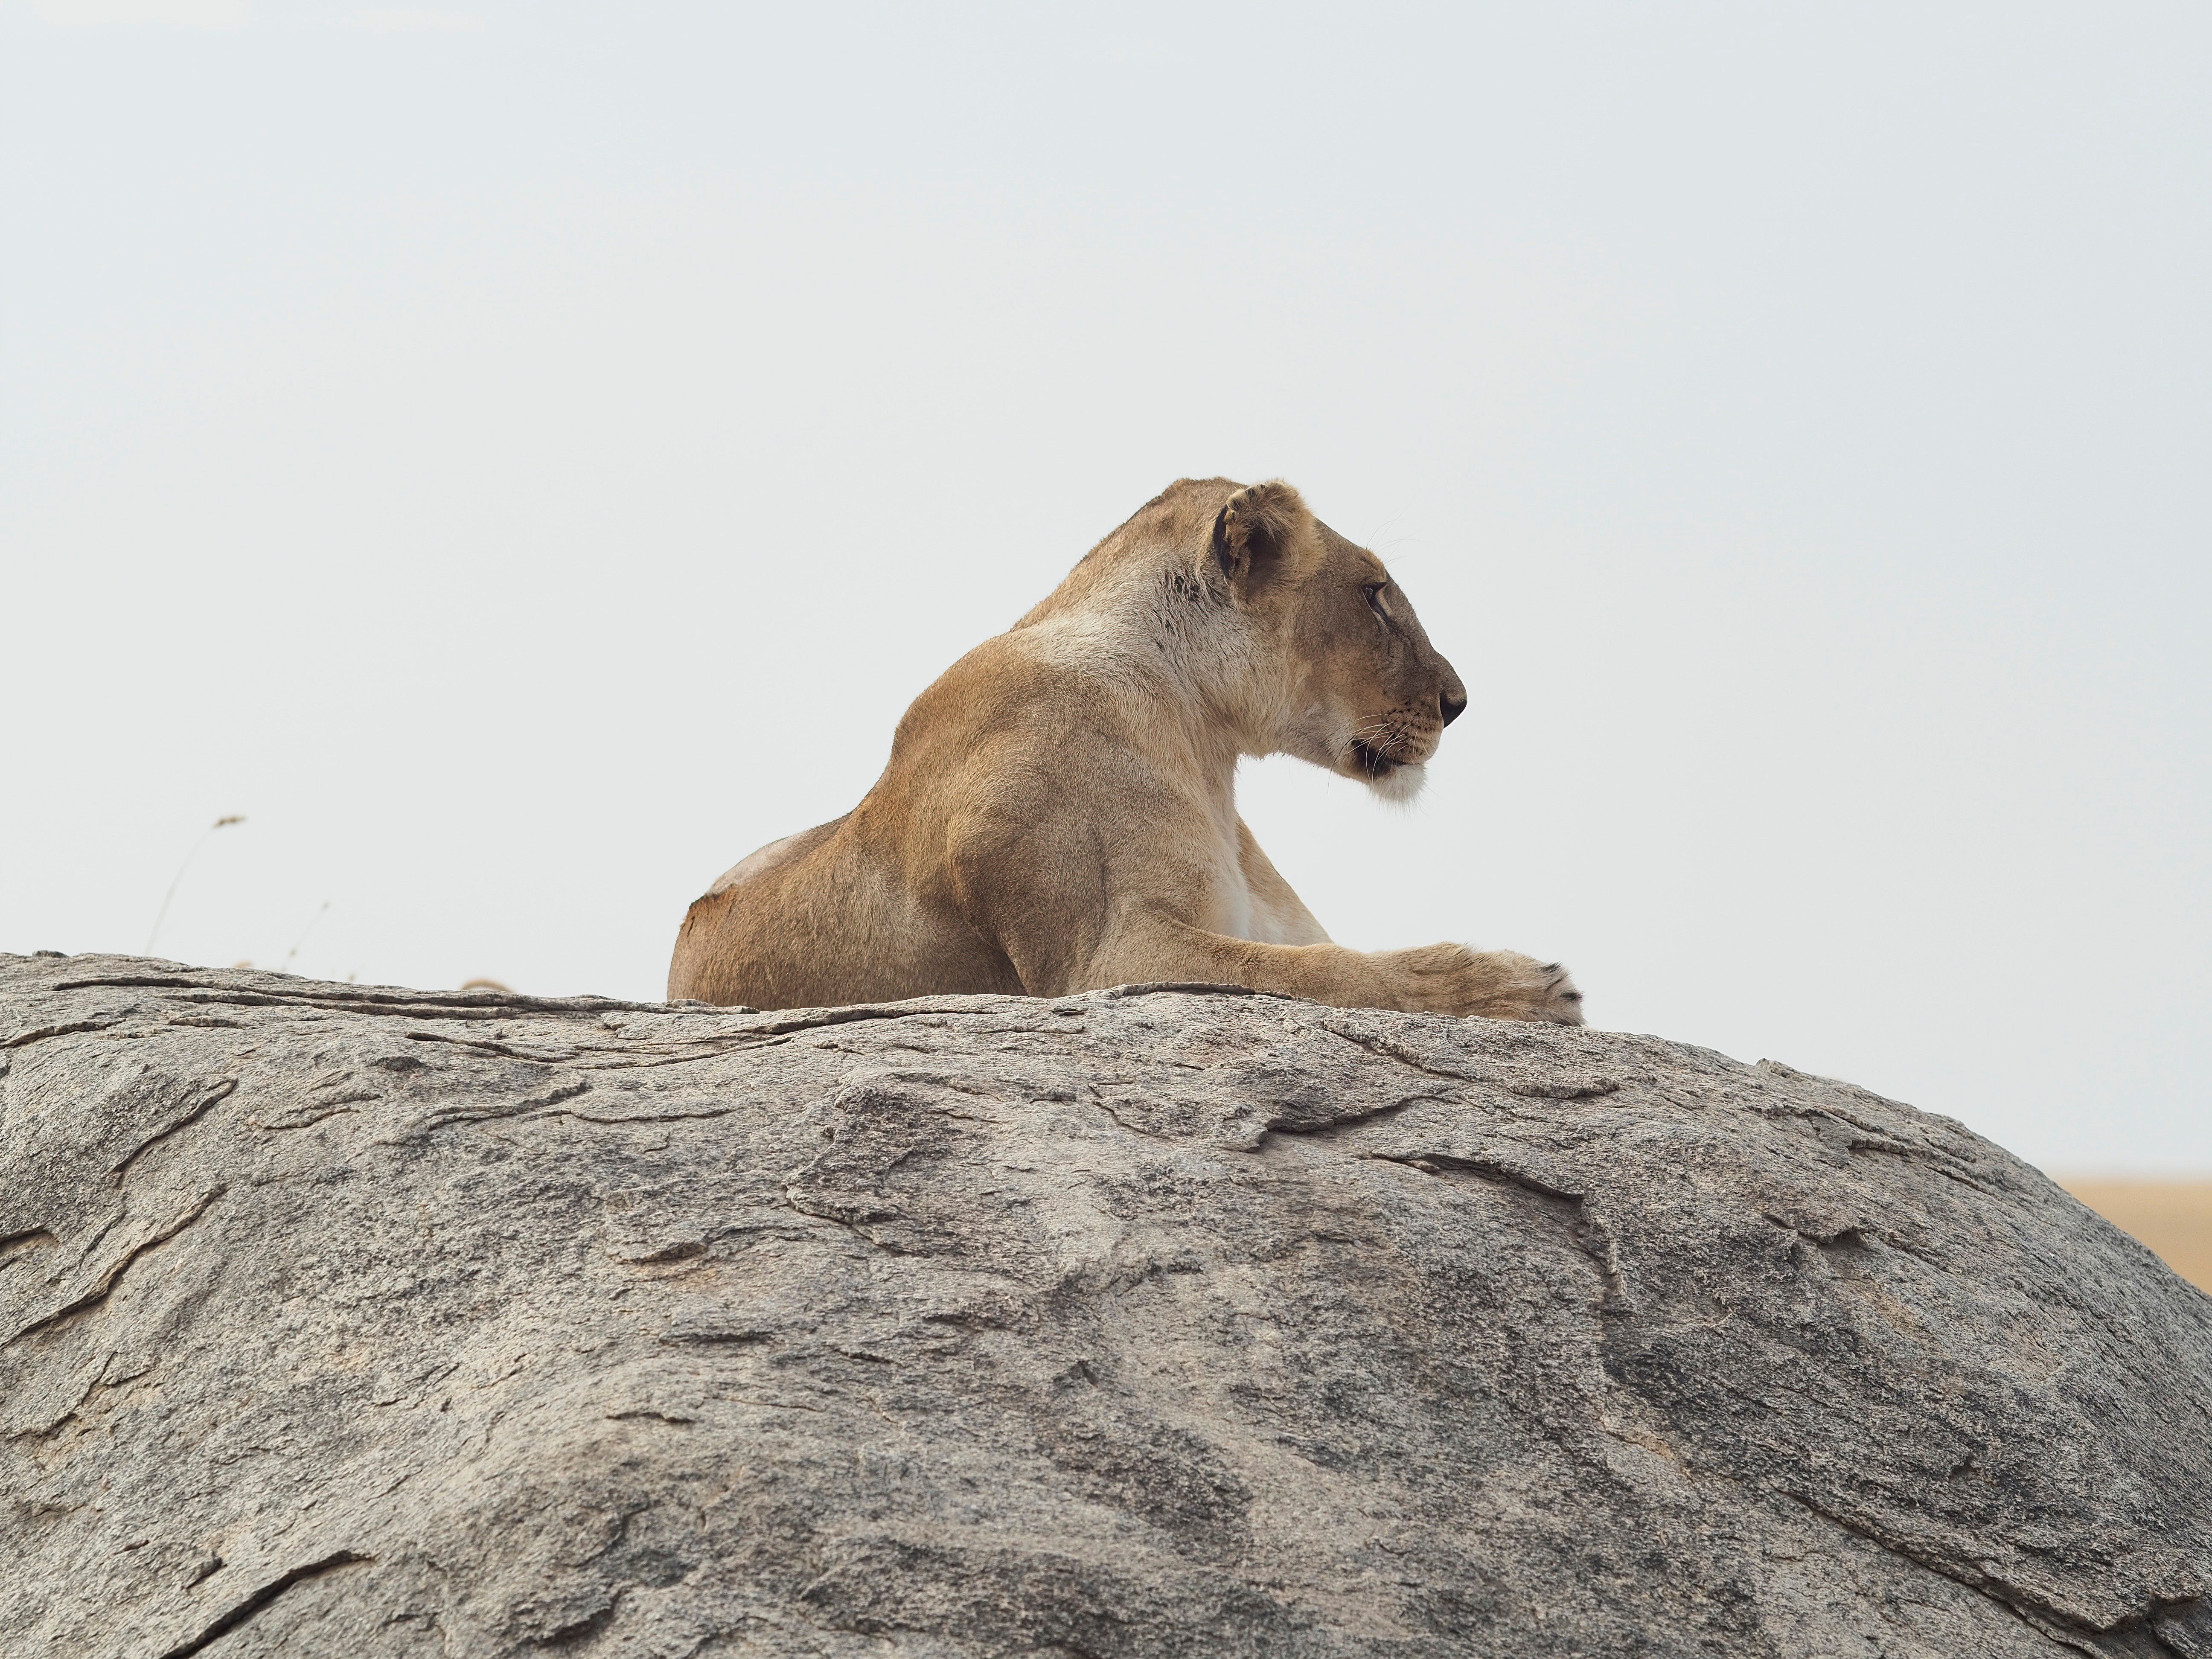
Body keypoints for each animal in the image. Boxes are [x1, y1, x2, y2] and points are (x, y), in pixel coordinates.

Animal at [668, 478, 1583, 1023]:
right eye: (1372, 595)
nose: (1457, 703)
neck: (1203, 738)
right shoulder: (1099, 960)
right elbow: (1327, 972)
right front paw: (1513, 984)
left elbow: (1320, 955)